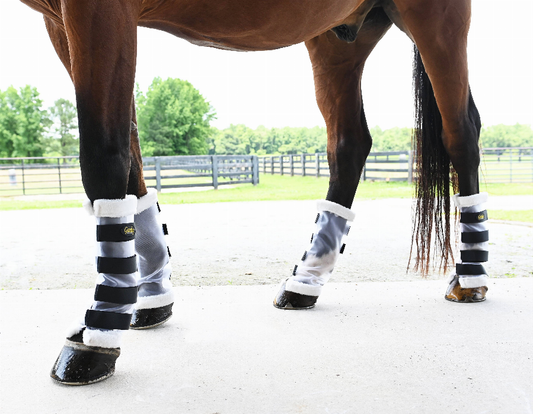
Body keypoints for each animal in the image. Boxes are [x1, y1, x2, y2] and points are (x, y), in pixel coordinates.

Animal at [19, 0, 486, 384]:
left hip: (435, 20)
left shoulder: (99, 11)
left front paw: (98, 335)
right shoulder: (62, 23)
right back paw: (305, 281)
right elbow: (132, 163)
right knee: (349, 143)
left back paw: (470, 278)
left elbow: (105, 156)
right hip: (336, 41)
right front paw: (149, 298)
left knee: (461, 132)